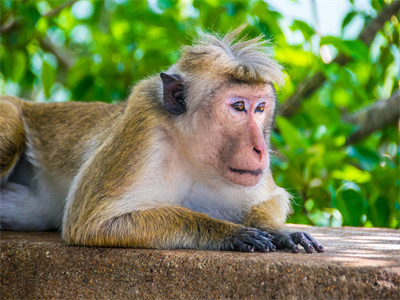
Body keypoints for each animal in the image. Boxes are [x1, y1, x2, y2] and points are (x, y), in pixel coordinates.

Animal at [0, 27, 324, 254]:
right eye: (238, 106)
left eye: (260, 108)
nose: (260, 149)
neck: (189, 152)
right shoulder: (144, 128)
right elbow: (91, 222)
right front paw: (228, 233)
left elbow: (273, 198)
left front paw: (279, 231)